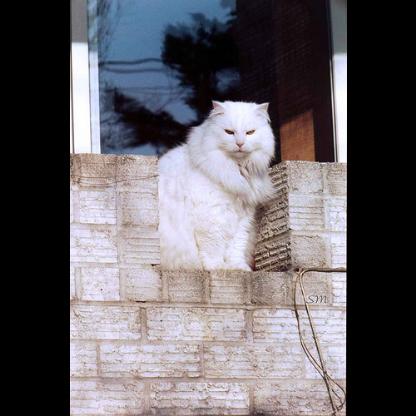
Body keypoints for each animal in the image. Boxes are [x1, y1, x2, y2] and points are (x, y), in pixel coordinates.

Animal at [158, 100, 275, 271]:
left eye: (250, 132)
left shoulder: (243, 219)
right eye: (229, 132)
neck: (236, 170)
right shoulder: (212, 217)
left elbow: (236, 248)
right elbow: (213, 249)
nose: (240, 143)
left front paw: (239, 268)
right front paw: (218, 267)